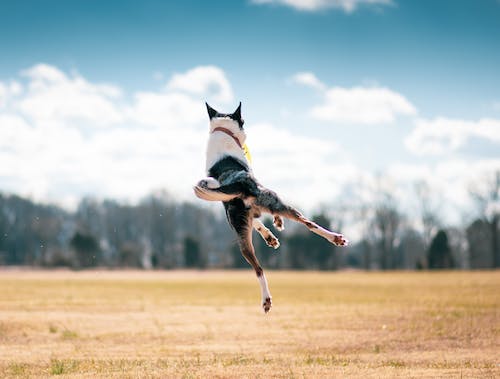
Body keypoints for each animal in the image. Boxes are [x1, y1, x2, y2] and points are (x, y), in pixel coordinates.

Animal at [194, 102, 348, 314]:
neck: (223, 132)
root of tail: (240, 184)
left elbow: (258, 222)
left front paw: (270, 237)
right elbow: (267, 219)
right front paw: (277, 223)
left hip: (241, 238)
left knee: (258, 269)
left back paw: (266, 299)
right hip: (277, 201)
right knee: (308, 223)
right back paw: (336, 238)